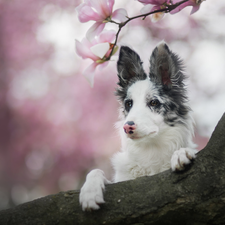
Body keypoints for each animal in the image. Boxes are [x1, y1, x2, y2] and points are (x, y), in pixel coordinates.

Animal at [78, 41, 197, 211]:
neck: (151, 150)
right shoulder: (121, 179)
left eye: (153, 102)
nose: (127, 127)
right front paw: (90, 192)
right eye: (129, 103)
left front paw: (181, 153)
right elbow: (95, 171)